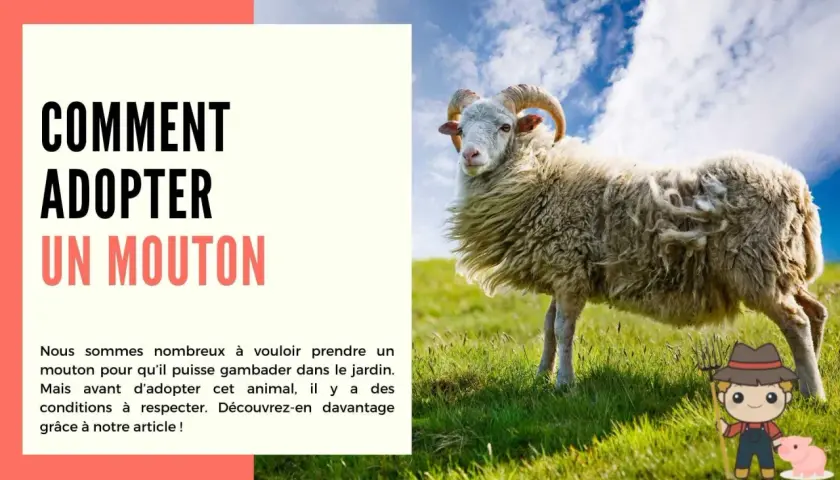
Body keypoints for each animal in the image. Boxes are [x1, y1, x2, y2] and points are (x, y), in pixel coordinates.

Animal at [436, 84, 829, 399]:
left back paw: (814, 395)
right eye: (462, 129)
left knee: (796, 322)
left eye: (505, 126)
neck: (541, 175)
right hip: (782, 266)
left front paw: (565, 384)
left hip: (757, 266)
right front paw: (540, 378)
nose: (469, 155)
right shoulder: (562, 271)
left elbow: (563, 329)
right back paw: (800, 380)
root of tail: (798, 187)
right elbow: (548, 328)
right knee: (816, 312)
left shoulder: (569, 271)